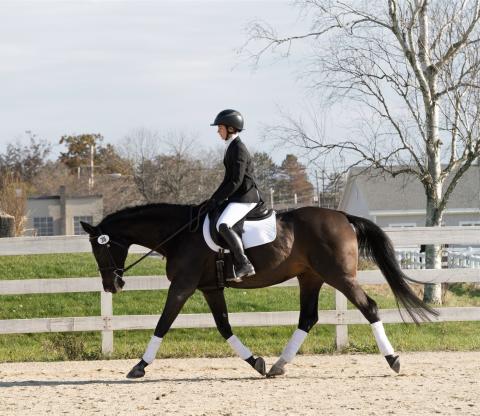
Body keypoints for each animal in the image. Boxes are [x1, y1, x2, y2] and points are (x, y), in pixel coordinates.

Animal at [80, 203, 436, 378]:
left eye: (101, 248)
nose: (112, 285)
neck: (180, 233)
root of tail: (341, 216)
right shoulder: (209, 288)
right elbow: (224, 327)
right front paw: (256, 363)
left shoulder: (182, 286)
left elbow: (163, 323)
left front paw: (139, 366)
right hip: (310, 277)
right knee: (308, 318)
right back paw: (278, 366)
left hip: (339, 276)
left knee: (369, 307)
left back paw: (393, 361)